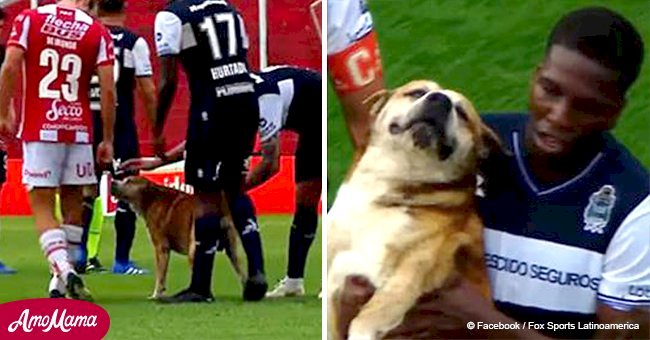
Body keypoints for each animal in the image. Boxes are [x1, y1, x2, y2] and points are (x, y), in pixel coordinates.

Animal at [110, 177, 244, 298]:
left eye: (129, 181)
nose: (113, 182)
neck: (151, 199)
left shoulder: (161, 248)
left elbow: (160, 275)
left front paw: (156, 295)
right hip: (231, 249)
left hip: (193, 249)